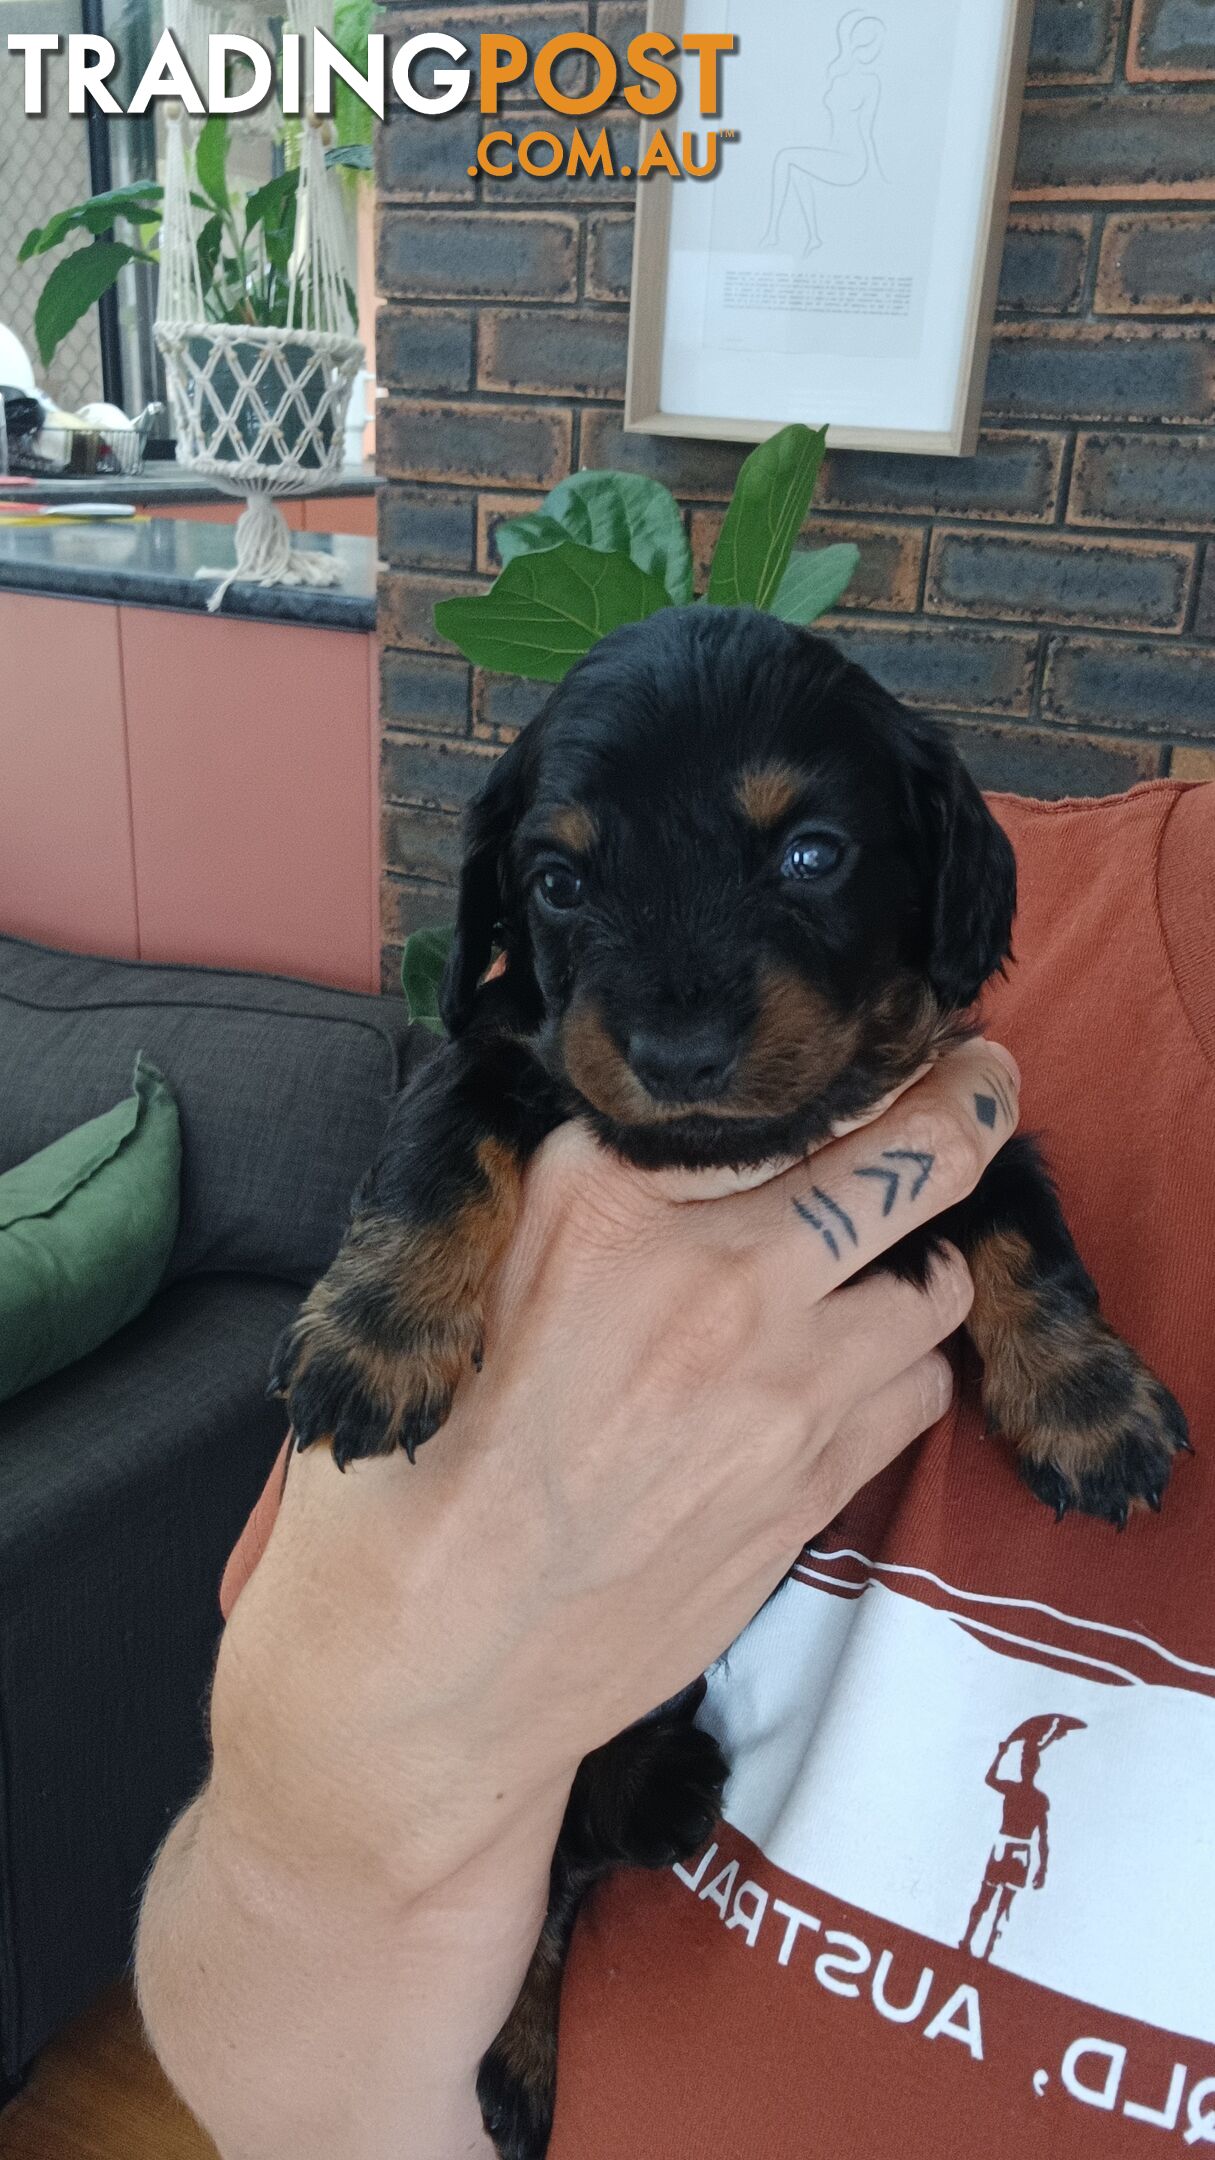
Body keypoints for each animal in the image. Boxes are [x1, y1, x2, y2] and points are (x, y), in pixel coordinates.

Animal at [272, 609, 1184, 2160]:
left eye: (810, 854)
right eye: (559, 881)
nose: (677, 1056)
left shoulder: (959, 1128)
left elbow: (1031, 1231)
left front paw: (1089, 1407)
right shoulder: (495, 1053)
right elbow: (438, 1144)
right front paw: (372, 1334)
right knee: (541, 1901)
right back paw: (525, 2056)